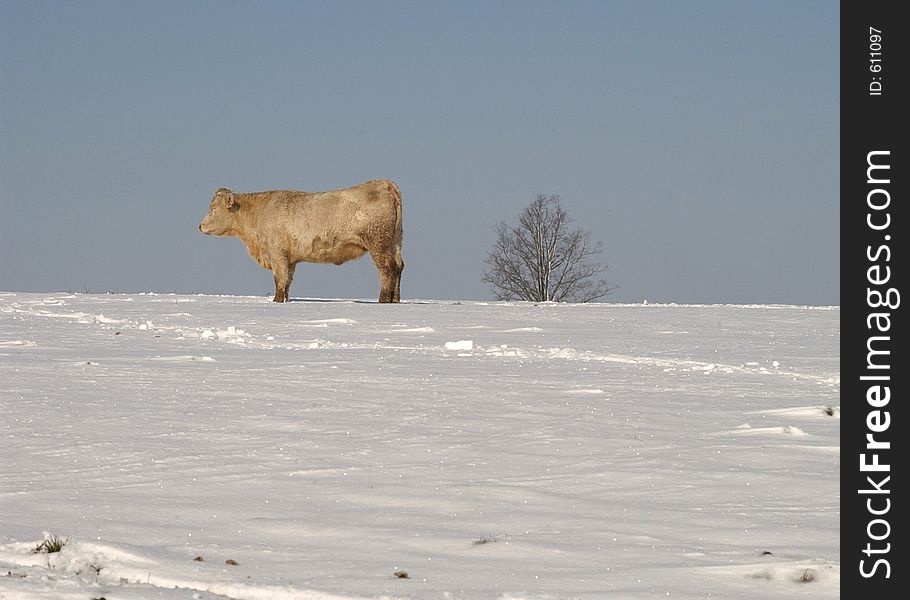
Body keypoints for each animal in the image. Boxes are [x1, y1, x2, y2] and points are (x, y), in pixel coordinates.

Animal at [201, 177, 404, 300]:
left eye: (213, 208)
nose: (200, 226)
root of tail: (384, 184)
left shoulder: (277, 253)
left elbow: (279, 279)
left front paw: (276, 301)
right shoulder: (290, 259)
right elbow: (287, 282)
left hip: (377, 244)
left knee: (387, 269)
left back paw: (383, 300)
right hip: (394, 243)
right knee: (399, 266)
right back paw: (394, 299)